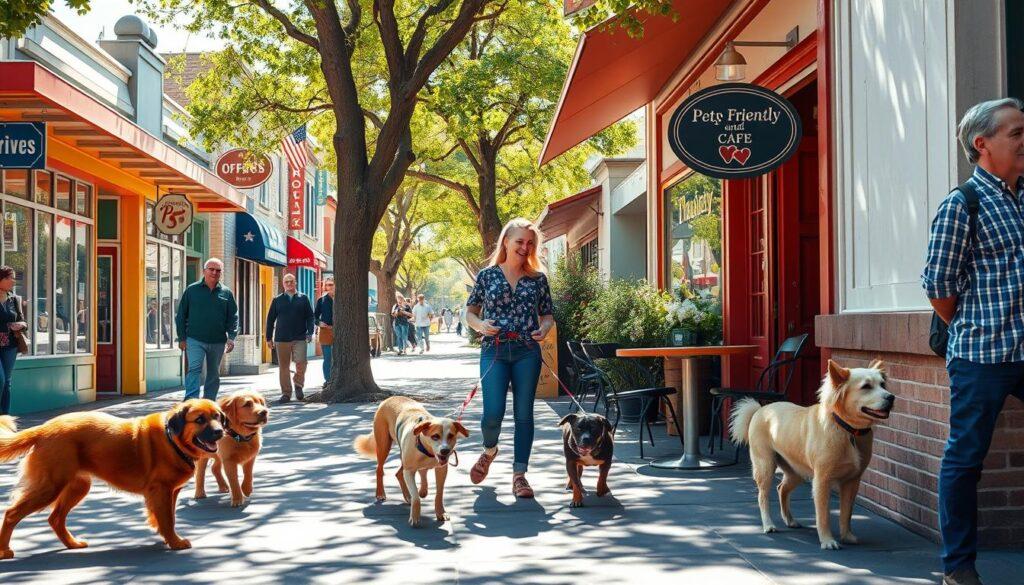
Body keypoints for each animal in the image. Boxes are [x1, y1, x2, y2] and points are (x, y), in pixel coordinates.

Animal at [0, 397, 226, 557]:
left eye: (217, 417)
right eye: (200, 420)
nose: (220, 432)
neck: (172, 439)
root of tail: (43, 428)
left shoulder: (170, 492)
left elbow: (168, 517)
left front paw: (167, 537)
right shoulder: (161, 490)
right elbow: (168, 519)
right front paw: (175, 542)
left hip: (77, 487)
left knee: (55, 518)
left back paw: (72, 544)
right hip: (50, 487)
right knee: (11, 513)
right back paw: (4, 551)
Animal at [350, 395, 466, 528]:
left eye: (451, 436)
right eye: (435, 436)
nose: (445, 451)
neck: (427, 451)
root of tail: (390, 398)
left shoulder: (441, 470)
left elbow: (439, 493)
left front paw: (440, 512)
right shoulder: (409, 471)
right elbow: (416, 496)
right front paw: (414, 516)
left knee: (401, 473)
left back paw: (412, 494)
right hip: (384, 445)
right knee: (380, 469)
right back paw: (381, 493)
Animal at [733, 358, 892, 553]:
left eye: (883, 385)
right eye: (866, 386)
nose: (891, 397)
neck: (847, 429)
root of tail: (759, 410)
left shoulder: (852, 482)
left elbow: (846, 513)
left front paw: (847, 536)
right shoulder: (822, 481)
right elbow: (823, 515)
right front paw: (827, 540)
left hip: (797, 472)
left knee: (782, 489)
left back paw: (790, 520)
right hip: (765, 467)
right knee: (763, 497)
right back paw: (768, 524)